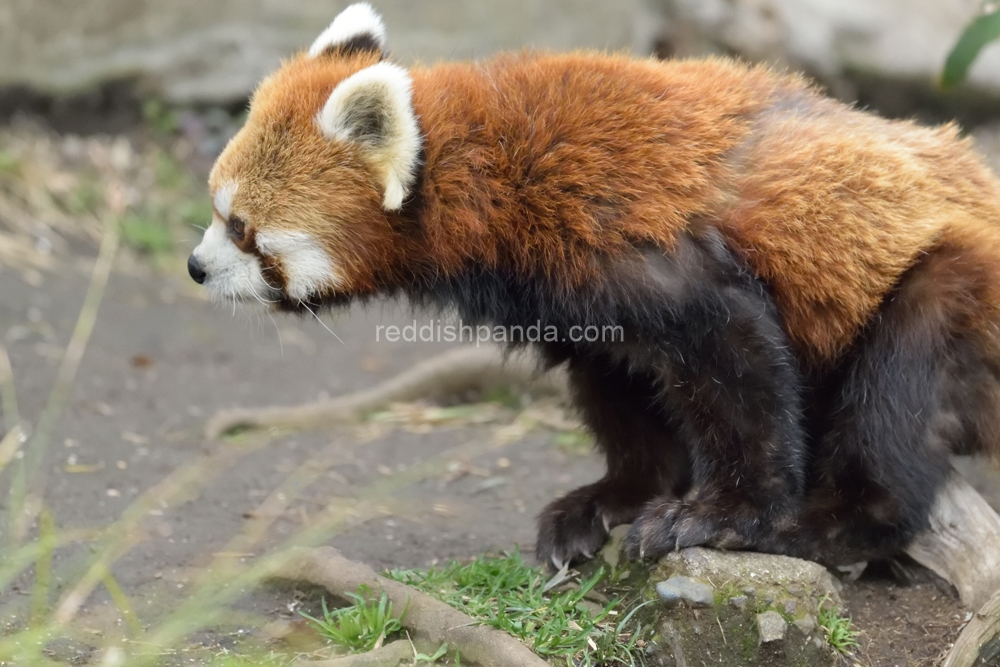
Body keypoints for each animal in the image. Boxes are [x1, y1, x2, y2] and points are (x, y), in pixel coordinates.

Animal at [189, 2, 1000, 572]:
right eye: (214, 209)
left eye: (242, 229)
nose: (196, 267)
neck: (489, 179)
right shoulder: (573, 304)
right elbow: (621, 388)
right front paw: (616, 498)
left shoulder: (638, 248)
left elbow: (738, 365)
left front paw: (724, 515)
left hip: (954, 290)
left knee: (896, 398)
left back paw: (831, 523)